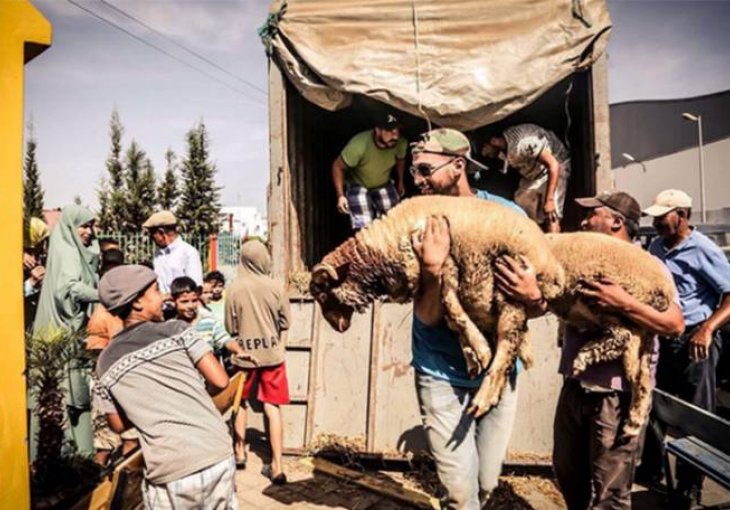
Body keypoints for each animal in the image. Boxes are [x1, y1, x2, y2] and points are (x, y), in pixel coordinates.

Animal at [308, 193, 564, 416]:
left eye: (322, 294)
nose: (339, 328)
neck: (381, 250)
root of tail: (554, 270)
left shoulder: (446, 261)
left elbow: (451, 304)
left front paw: (480, 350)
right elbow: (451, 318)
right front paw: (472, 355)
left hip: (512, 290)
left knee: (506, 346)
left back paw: (483, 399)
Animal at [544, 233, 672, 436]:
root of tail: (664, 288)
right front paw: (561, 333)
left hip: (602, 291)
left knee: (622, 337)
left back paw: (582, 357)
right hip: (639, 327)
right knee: (639, 373)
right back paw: (634, 422)